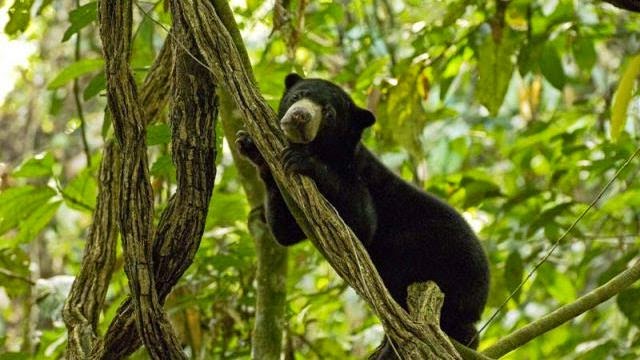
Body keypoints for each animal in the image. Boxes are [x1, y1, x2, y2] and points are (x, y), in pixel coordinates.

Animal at [236, 72, 490, 354]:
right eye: (296, 97)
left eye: (329, 113)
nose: (300, 116)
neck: (330, 152)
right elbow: (285, 231)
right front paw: (251, 146)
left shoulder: (361, 174)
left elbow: (362, 222)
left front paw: (304, 160)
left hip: (445, 273)